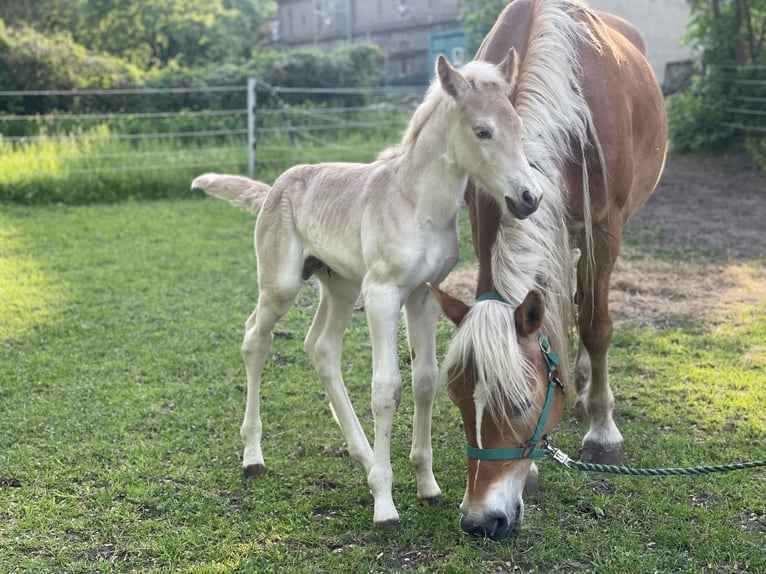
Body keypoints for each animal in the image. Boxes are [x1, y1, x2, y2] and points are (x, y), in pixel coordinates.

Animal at [192, 54, 544, 532]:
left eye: (519, 127)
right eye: (483, 131)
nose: (530, 197)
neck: (417, 204)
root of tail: (274, 189)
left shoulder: (423, 296)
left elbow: (425, 380)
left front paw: (427, 485)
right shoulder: (383, 294)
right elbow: (386, 387)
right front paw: (385, 505)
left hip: (340, 285)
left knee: (320, 347)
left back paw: (362, 457)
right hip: (283, 286)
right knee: (254, 339)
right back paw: (253, 456)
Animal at [436, 0, 668, 540]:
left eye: (522, 404)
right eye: (457, 400)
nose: (480, 521)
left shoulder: (605, 227)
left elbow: (597, 324)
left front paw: (602, 431)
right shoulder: (486, 213)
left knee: (587, 308)